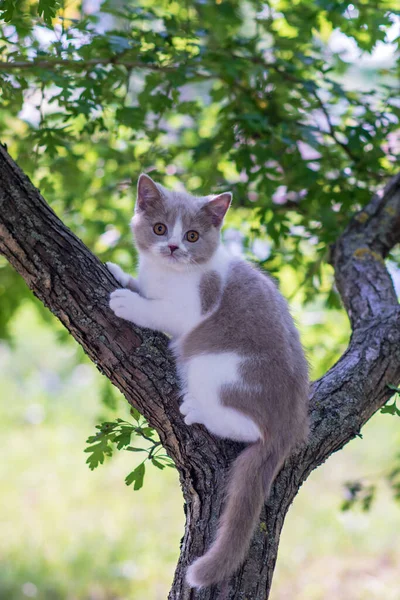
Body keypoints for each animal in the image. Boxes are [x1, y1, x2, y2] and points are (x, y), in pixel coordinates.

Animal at [106, 172, 310, 584]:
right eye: (160, 228)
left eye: (192, 236)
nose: (172, 247)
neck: (169, 275)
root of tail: (290, 426)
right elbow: (144, 287)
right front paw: (122, 275)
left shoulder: (190, 310)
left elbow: (158, 311)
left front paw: (127, 301)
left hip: (216, 363)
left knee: (247, 426)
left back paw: (199, 410)